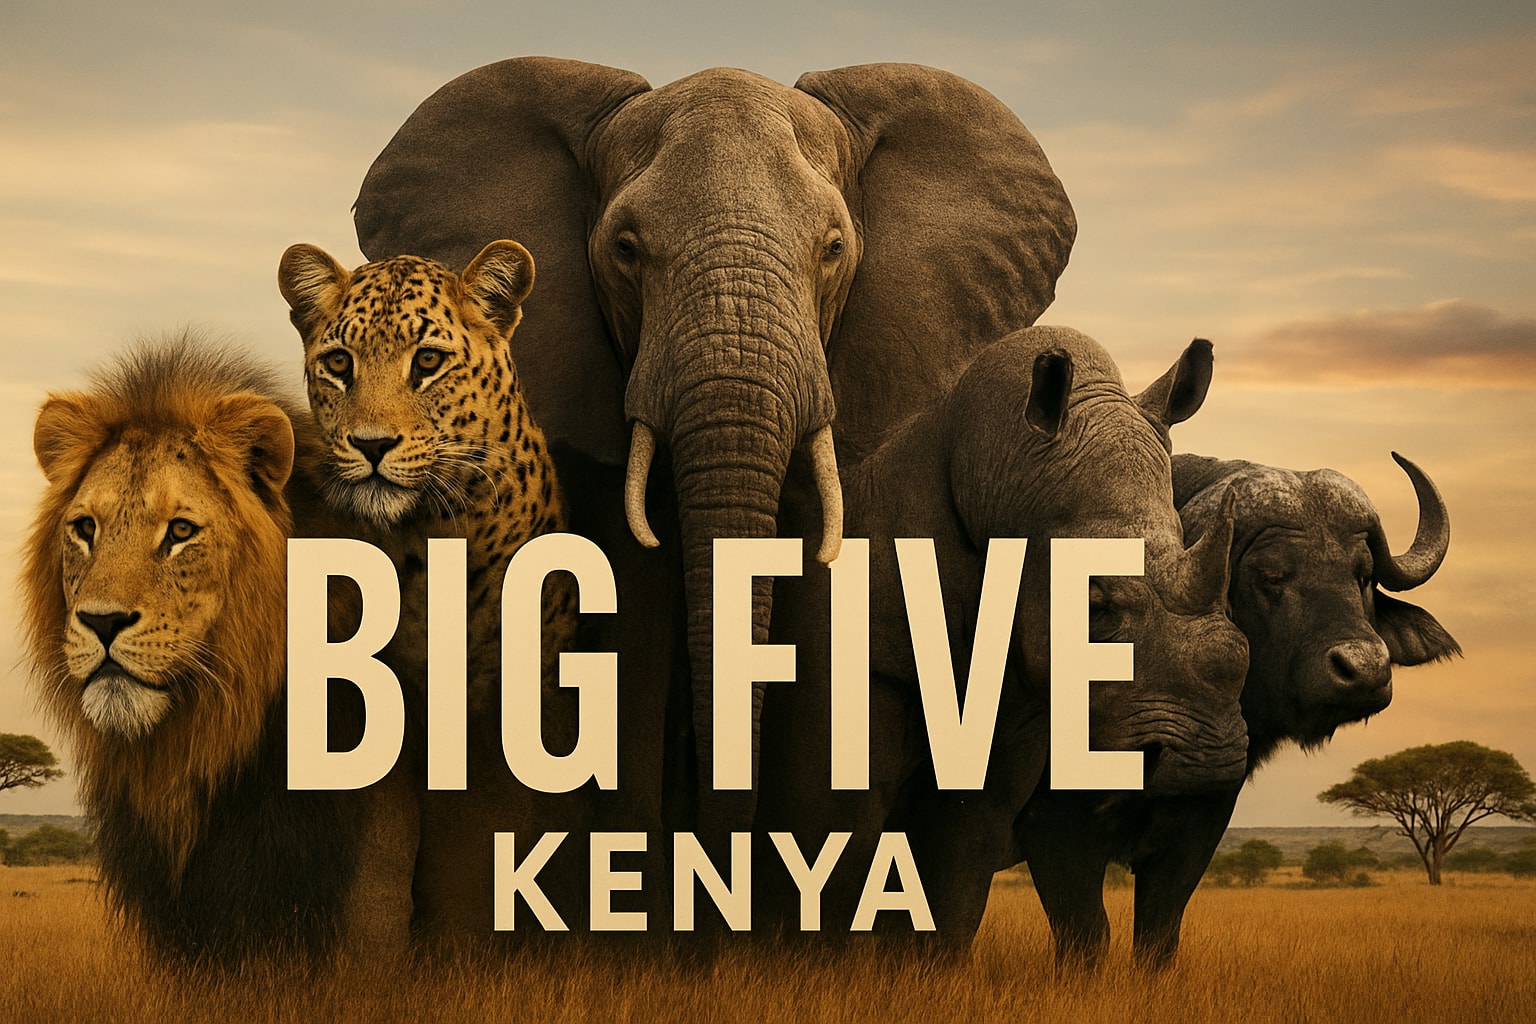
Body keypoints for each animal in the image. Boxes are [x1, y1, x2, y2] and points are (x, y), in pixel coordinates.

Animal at [1015, 452, 1459, 967]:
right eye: (1272, 575)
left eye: (1362, 574)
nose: (1365, 669)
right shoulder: (1053, 825)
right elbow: (1086, 935)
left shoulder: (1199, 823)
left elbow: (1158, 935)